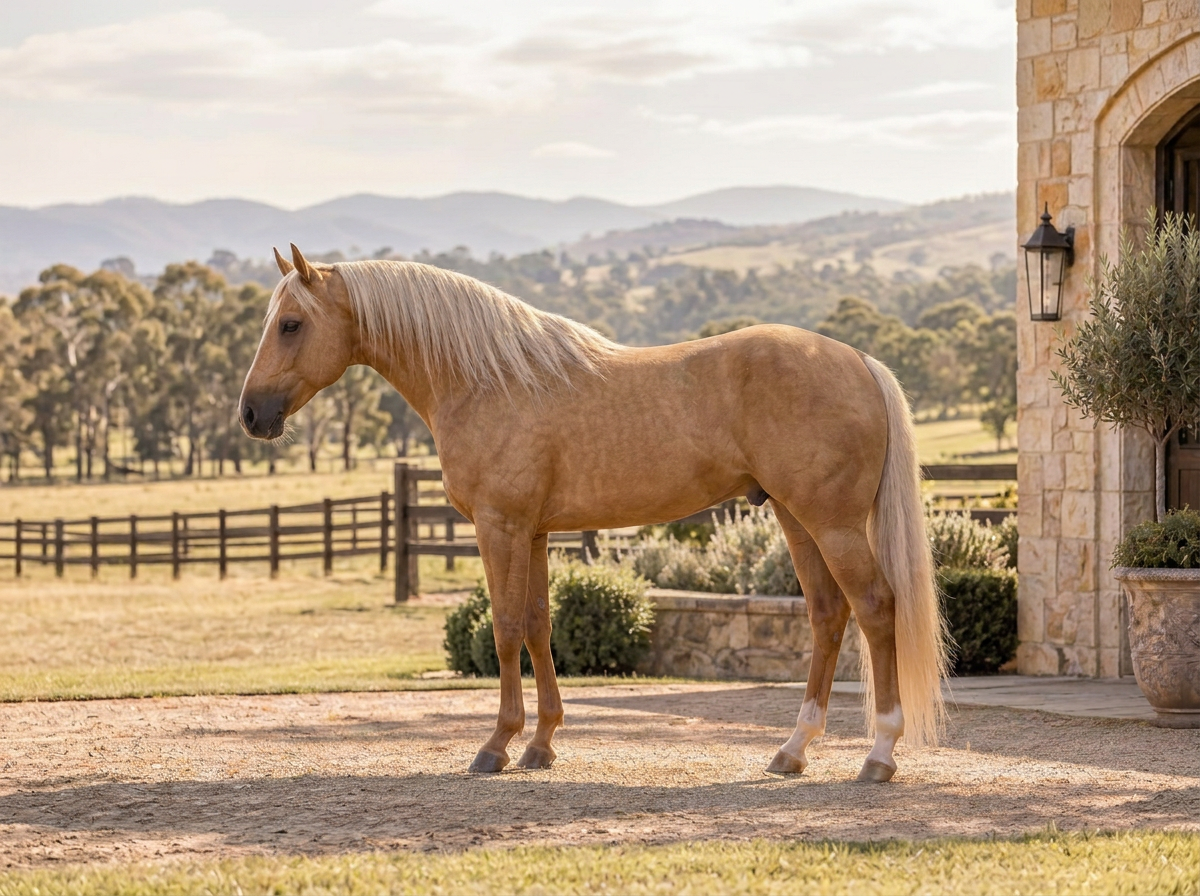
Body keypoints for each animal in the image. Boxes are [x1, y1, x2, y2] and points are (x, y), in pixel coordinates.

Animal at [239, 244, 947, 783]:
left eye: (291, 324)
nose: (250, 414)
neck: (489, 379)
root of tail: (859, 360)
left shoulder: (499, 527)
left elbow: (503, 629)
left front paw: (496, 746)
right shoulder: (533, 532)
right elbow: (537, 626)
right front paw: (541, 743)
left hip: (831, 524)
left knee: (875, 608)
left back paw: (879, 754)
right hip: (797, 521)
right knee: (828, 616)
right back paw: (793, 751)